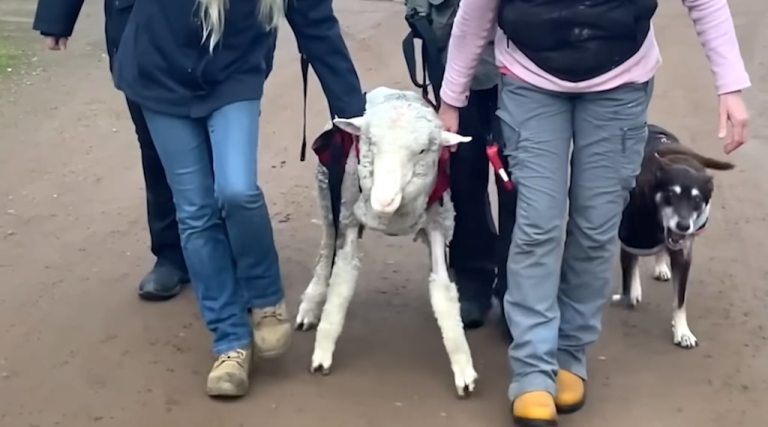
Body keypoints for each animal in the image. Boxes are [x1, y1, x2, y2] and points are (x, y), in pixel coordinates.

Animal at [296, 87, 480, 398]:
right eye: (370, 143)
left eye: (422, 151)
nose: (382, 200)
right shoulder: (348, 218)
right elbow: (341, 285)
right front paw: (322, 352)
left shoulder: (438, 224)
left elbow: (443, 294)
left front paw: (463, 368)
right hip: (330, 199)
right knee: (326, 250)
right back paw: (311, 304)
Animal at [612, 122, 732, 350]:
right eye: (670, 195)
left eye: (697, 200)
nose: (683, 225)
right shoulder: (630, 237)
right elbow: (630, 269)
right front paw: (632, 291)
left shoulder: (683, 257)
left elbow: (679, 300)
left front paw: (682, 331)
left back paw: (660, 266)